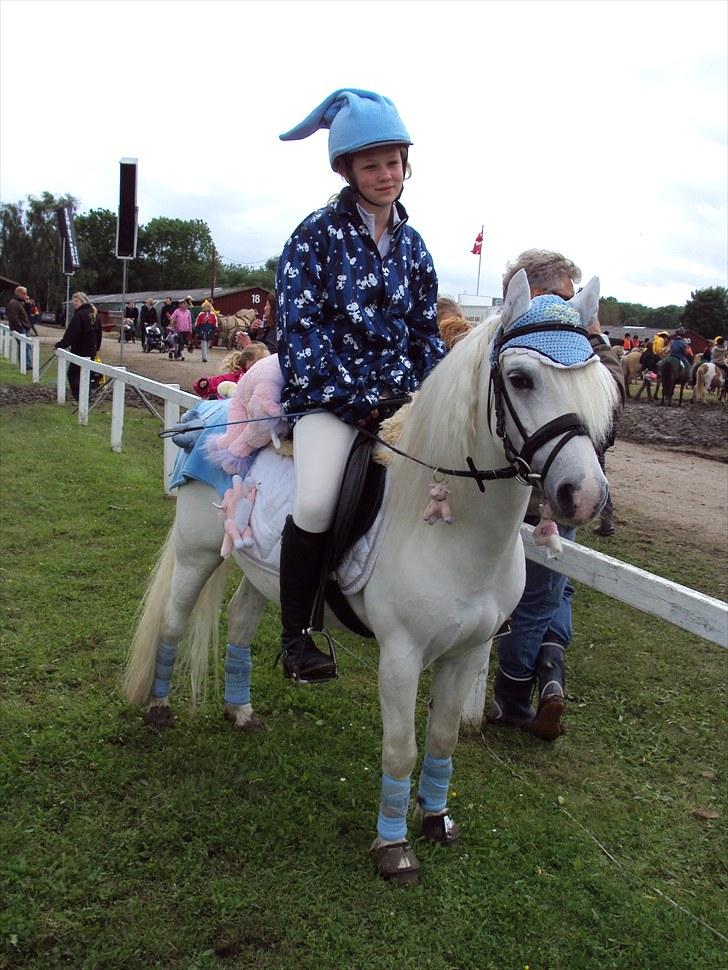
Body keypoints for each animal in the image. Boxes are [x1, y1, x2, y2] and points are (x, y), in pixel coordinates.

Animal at [123, 270, 620, 884]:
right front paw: (394, 845)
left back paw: (241, 711)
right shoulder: (401, 657)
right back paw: (159, 709)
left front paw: (436, 819)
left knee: (240, 622)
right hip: (196, 552)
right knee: (173, 620)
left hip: (263, 572)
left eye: (599, 383)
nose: (585, 496)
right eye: (520, 378)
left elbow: (443, 738)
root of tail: (211, 413)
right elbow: (400, 749)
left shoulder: (469, 652)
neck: (452, 529)